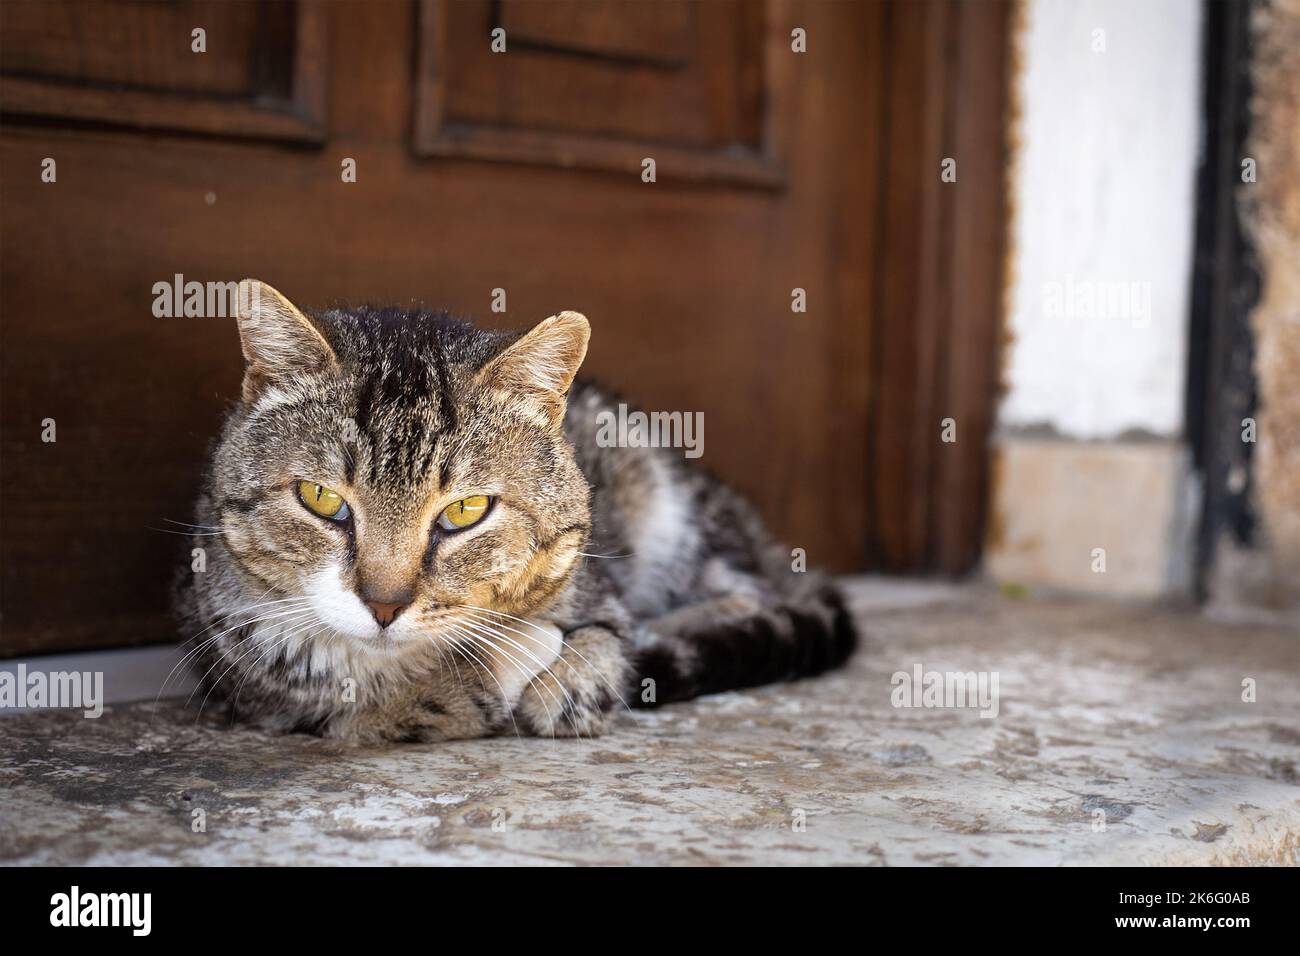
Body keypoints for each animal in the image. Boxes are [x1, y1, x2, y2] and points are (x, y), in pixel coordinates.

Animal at [175, 280, 863, 743]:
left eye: (465, 511)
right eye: (322, 501)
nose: (384, 605)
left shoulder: (596, 587)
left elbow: (600, 645)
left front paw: (568, 669)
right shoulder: (251, 690)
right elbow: (376, 714)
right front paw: (504, 660)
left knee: (754, 595)